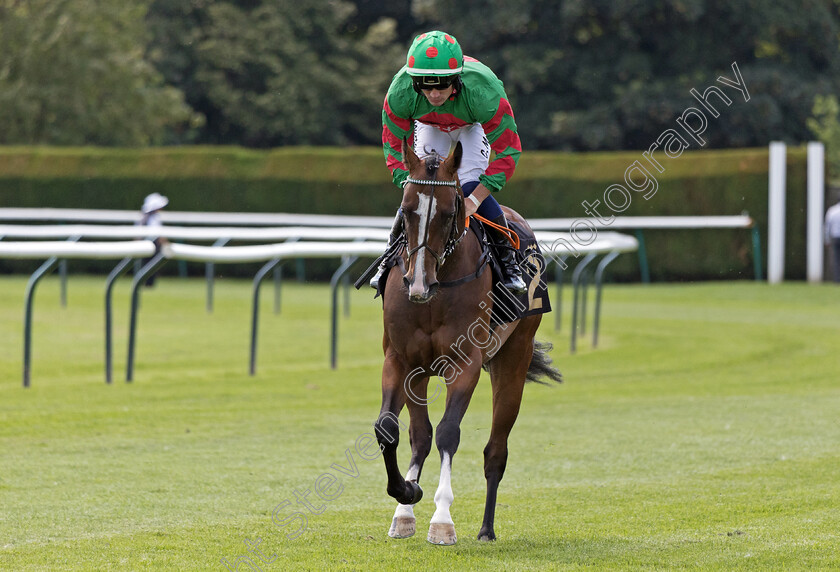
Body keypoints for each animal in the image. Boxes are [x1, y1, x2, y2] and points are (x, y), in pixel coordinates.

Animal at [372, 140, 556, 544]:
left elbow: (448, 432)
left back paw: (486, 528)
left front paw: (442, 520)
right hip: (422, 372)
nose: (418, 283)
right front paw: (406, 493)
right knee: (420, 436)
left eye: (446, 213)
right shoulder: (400, 359)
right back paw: (405, 512)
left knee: (495, 451)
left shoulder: (465, 363)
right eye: (406, 210)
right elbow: (390, 429)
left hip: (514, 358)